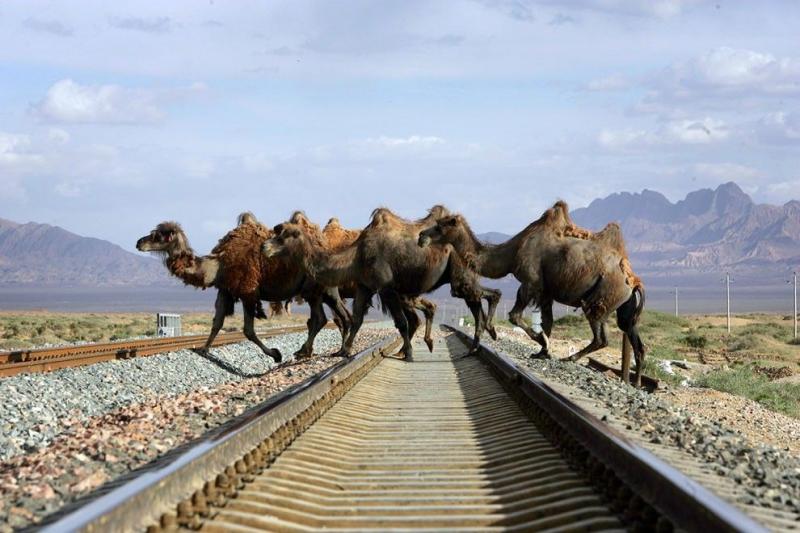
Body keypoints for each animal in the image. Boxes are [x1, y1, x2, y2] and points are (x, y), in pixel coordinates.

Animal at [137, 212, 350, 362]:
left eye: (158, 236)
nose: (139, 242)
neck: (219, 265)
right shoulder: (225, 290)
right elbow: (217, 323)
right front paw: (204, 349)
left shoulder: (248, 291)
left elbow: (248, 331)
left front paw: (276, 354)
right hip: (320, 292)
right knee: (333, 316)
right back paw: (330, 350)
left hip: (315, 289)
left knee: (323, 318)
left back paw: (307, 351)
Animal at [262, 206, 500, 360]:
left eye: (287, 234)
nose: (265, 246)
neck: (356, 255)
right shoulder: (365, 286)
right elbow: (356, 319)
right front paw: (344, 351)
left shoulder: (386, 288)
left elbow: (400, 323)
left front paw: (409, 354)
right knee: (474, 299)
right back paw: (472, 343)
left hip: (459, 271)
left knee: (481, 295)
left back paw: (483, 338)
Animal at [416, 202, 648, 384]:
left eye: (440, 226)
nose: (421, 236)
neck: (512, 253)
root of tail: (634, 281)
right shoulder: (545, 292)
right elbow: (548, 321)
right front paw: (542, 351)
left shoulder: (530, 283)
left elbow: (515, 316)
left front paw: (541, 342)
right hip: (621, 304)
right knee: (632, 336)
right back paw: (636, 382)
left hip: (603, 296)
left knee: (601, 337)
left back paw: (570, 358)